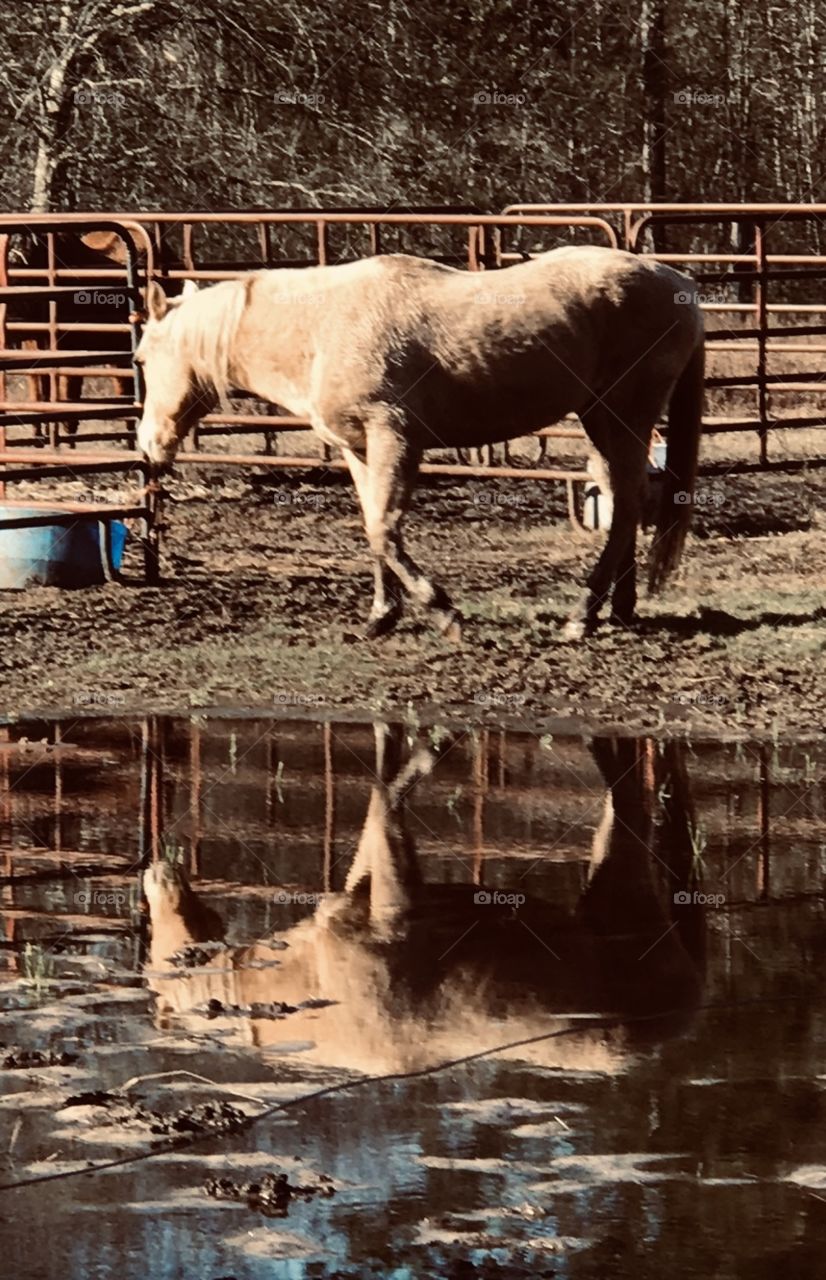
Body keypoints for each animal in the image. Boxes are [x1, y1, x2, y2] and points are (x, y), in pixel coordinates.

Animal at [134, 247, 705, 639]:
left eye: (139, 358)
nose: (147, 446)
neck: (321, 328)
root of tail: (676, 281)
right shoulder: (358, 448)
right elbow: (372, 529)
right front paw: (380, 617)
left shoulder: (394, 437)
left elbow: (385, 529)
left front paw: (442, 611)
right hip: (601, 419)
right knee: (624, 496)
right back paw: (618, 608)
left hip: (623, 413)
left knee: (626, 503)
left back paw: (582, 616)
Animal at [142, 724, 704, 1075]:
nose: (154, 867)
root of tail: (692, 1002)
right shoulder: (368, 892)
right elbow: (386, 792)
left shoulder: (390, 904)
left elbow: (384, 795)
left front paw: (429, 743)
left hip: (624, 893)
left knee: (629, 790)